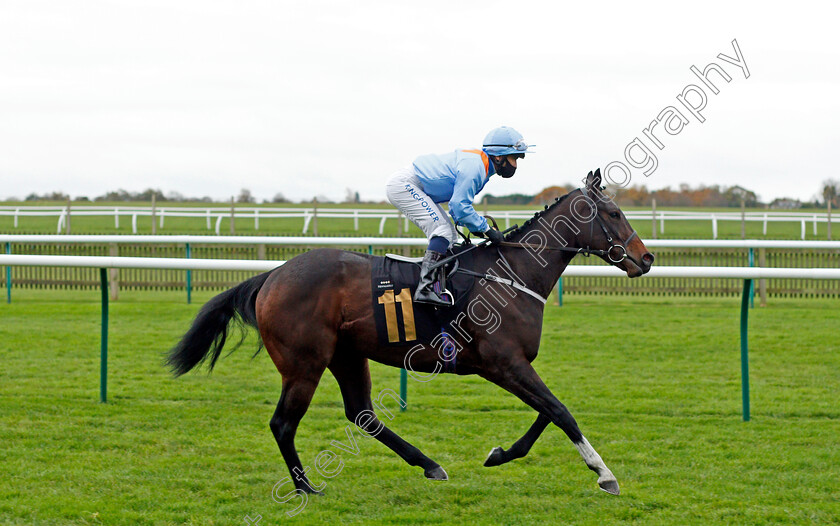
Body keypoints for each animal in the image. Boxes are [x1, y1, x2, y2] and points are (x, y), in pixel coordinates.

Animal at [167, 170, 656, 500]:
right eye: (614, 212)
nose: (646, 259)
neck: (511, 272)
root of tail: (271, 276)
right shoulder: (503, 364)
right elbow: (560, 411)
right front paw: (604, 473)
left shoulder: (513, 365)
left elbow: (549, 413)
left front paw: (500, 453)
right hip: (304, 363)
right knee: (283, 424)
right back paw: (307, 489)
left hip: (346, 355)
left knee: (361, 413)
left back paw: (430, 465)